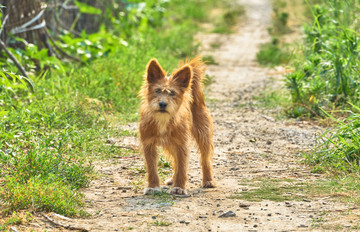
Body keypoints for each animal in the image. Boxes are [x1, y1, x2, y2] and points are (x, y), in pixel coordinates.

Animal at [139, 56, 215, 196]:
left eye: (172, 93)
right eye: (157, 90)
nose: (163, 104)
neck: (163, 120)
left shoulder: (181, 145)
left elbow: (182, 167)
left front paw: (179, 187)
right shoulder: (148, 144)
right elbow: (152, 168)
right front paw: (153, 187)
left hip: (203, 134)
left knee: (205, 159)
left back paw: (208, 180)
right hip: (170, 144)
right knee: (175, 160)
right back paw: (173, 179)